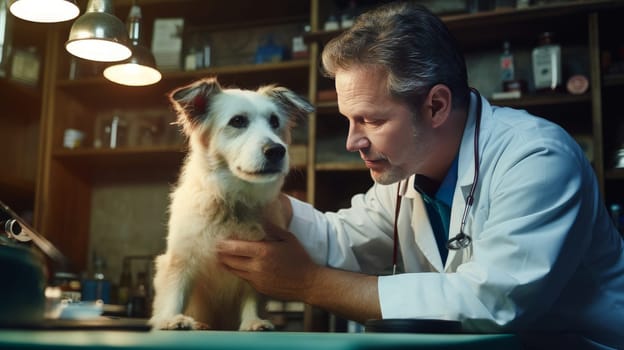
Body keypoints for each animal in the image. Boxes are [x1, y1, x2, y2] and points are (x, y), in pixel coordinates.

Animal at [149, 77, 314, 330]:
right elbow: (175, 291)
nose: (277, 150)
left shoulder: (257, 267)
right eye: (237, 121)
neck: (233, 201)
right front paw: (171, 318)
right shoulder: (180, 258)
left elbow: (252, 297)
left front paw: (253, 321)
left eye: (275, 121)